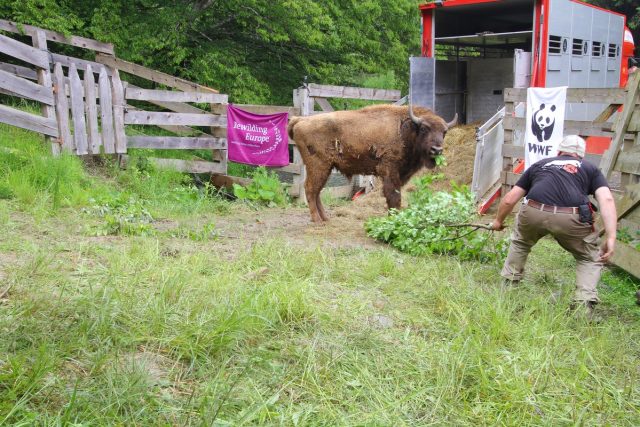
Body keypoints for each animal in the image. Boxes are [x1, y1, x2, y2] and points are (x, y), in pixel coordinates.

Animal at [288, 105, 458, 222]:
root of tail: (301, 119)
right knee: (311, 189)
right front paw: (394, 218)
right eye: (424, 129)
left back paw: (325, 218)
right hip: (319, 167)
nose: (437, 150)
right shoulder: (390, 172)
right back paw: (317, 220)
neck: (406, 129)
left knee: (316, 191)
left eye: (444, 132)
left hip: (326, 169)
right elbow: (394, 196)